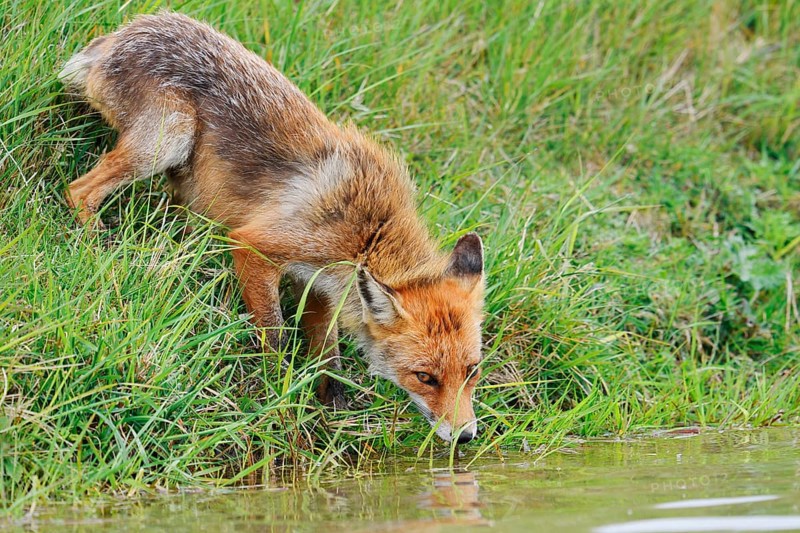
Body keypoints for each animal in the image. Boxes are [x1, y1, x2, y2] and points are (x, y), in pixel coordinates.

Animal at [58, 12, 485, 443]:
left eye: (472, 371)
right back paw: (98, 246)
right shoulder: (255, 246)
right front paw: (277, 393)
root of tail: (124, 32)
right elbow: (275, 336)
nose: (465, 436)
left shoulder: (322, 286)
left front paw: (332, 410)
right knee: (78, 191)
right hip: (168, 140)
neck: (369, 231)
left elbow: (328, 356)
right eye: (425, 377)